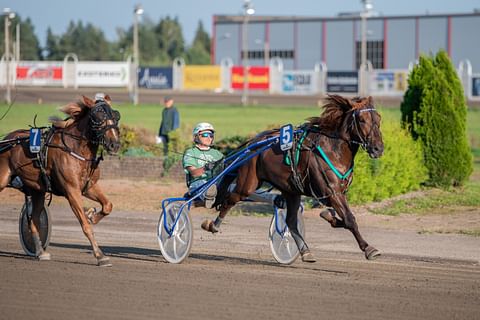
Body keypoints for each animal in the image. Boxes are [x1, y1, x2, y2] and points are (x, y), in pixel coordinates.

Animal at [0, 94, 120, 266]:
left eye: (116, 116)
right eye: (98, 117)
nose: (114, 144)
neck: (76, 148)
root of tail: (7, 138)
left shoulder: (89, 186)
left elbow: (107, 205)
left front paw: (92, 216)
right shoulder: (72, 190)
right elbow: (85, 226)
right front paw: (100, 255)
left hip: (37, 190)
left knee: (33, 220)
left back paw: (40, 252)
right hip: (3, 179)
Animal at [204, 94, 384, 262]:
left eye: (378, 119)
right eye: (362, 120)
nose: (378, 148)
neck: (334, 150)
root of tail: (253, 143)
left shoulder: (337, 193)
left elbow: (340, 218)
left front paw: (329, 216)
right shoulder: (331, 193)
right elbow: (349, 219)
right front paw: (369, 249)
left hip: (291, 191)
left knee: (290, 222)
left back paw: (305, 251)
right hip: (248, 183)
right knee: (230, 199)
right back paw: (213, 225)